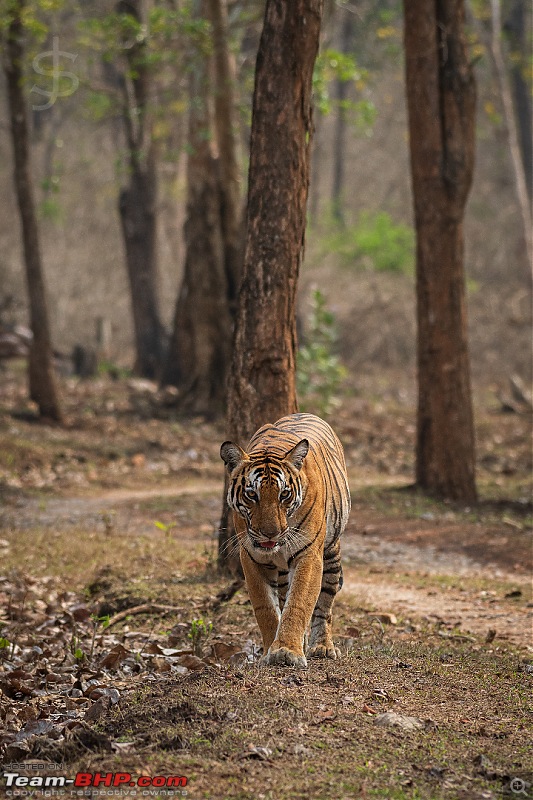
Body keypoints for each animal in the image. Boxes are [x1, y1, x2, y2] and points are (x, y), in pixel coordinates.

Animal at [220, 412, 350, 668]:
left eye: (284, 495)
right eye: (252, 495)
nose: (271, 533)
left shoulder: (308, 554)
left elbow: (299, 602)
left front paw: (287, 651)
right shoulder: (251, 558)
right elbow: (266, 608)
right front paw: (271, 650)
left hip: (331, 555)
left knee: (325, 603)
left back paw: (322, 647)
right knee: (282, 596)